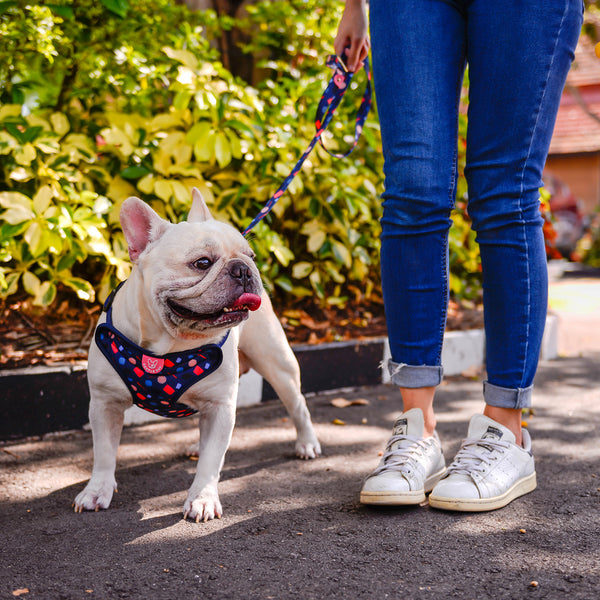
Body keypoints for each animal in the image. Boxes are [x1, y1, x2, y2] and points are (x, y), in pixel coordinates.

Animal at [73, 191, 322, 520]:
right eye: (202, 263)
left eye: (252, 256)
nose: (244, 268)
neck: (170, 344)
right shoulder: (105, 404)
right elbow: (103, 453)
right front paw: (97, 490)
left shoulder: (220, 406)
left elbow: (211, 462)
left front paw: (202, 498)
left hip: (278, 365)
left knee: (298, 406)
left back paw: (307, 443)